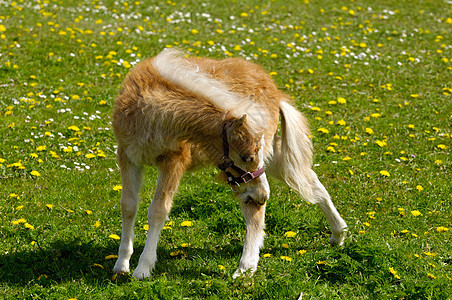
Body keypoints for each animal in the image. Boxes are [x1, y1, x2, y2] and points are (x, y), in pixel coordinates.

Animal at [110, 48, 346, 280]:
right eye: (246, 157)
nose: (263, 196)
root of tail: (275, 90)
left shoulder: (174, 160)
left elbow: (158, 210)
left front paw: (143, 268)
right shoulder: (127, 156)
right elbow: (128, 205)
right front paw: (122, 264)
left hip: (257, 170)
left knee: (258, 211)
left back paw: (245, 268)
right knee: (308, 179)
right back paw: (338, 233)